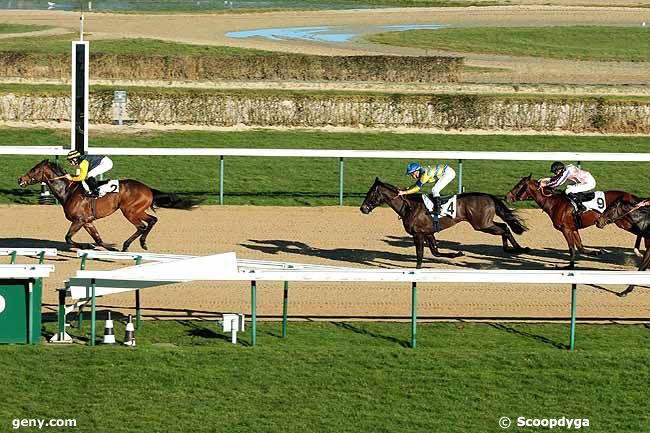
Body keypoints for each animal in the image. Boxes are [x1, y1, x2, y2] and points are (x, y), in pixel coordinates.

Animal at [19, 159, 199, 251]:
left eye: (34, 170)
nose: (20, 179)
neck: (68, 191)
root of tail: (148, 189)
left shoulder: (78, 220)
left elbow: (68, 238)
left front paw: (87, 245)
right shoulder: (87, 221)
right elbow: (97, 239)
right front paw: (103, 246)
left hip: (129, 211)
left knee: (142, 226)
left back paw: (127, 245)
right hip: (137, 210)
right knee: (152, 220)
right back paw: (142, 243)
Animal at [360, 176, 528, 266]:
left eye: (371, 194)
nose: (363, 208)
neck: (409, 207)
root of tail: (489, 196)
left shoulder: (417, 234)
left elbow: (420, 253)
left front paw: (417, 268)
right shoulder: (428, 232)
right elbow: (435, 252)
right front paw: (457, 254)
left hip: (482, 224)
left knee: (505, 228)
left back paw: (519, 249)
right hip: (485, 223)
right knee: (504, 226)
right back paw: (513, 249)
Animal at [502, 174, 636, 268]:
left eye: (519, 186)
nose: (506, 196)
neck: (554, 202)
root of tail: (631, 196)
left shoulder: (565, 229)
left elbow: (571, 248)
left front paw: (569, 265)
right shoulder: (573, 228)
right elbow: (580, 247)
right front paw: (597, 252)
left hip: (623, 222)